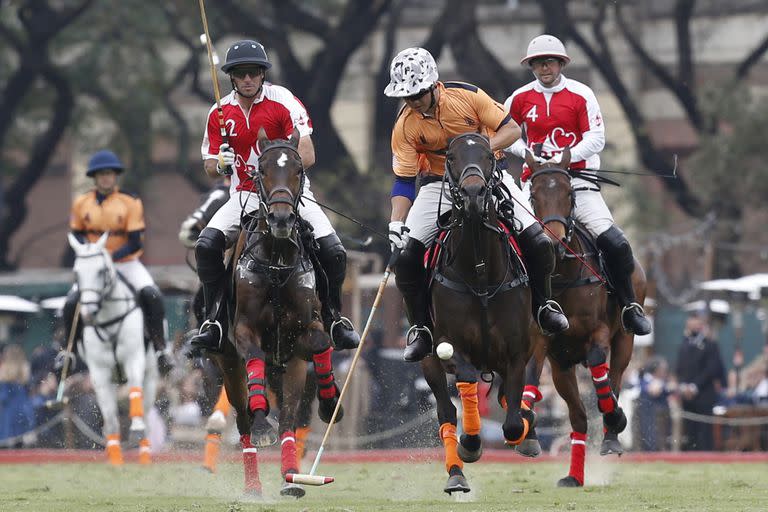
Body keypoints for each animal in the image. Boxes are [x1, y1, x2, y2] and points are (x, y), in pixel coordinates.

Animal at [69, 234, 159, 466]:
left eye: (102, 271)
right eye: (76, 272)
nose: (88, 312)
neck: (108, 319)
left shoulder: (134, 359)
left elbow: (135, 392)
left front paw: (136, 430)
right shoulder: (99, 372)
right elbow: (110, 418)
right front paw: (115, 458)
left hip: (151, 375)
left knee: (146, 412)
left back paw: (144, 452)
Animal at [208, 127, 344, 496]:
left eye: (298, 169)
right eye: (261, 171)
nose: (282, 219)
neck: (277, 261)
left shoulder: (303, 332)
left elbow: (321, 344)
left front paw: (331, 403)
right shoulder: (244, 331)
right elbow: (253, 358)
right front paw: (261, 424)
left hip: (290, 368)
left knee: (288, 418)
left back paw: (292, 476)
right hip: (228, 365)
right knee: (242, 420)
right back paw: (254, 481)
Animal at [420, 134, 536, 494]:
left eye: (488, 155)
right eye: (451, 157)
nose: (473, 194)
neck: (480, 272)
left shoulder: (517, 353)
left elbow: (512, 423)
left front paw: (525, 429)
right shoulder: (448, 347)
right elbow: (467, 378)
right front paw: (470, 443)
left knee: (504, 400)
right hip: (428, 360)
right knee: (445, 412)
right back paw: (456, 473)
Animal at [520, 149, 644, 488]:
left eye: (569, 193)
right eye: (533, 195)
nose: (554, 242)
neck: (563, 274)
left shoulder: (598, 333)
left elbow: (602, 372)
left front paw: (615, 417)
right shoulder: (542, 340)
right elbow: (530, 376)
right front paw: (527, 432)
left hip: (625, 340)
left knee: (614, 380)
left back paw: (612, 435)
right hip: (562, 367)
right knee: (578, 417)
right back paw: (574, 476)